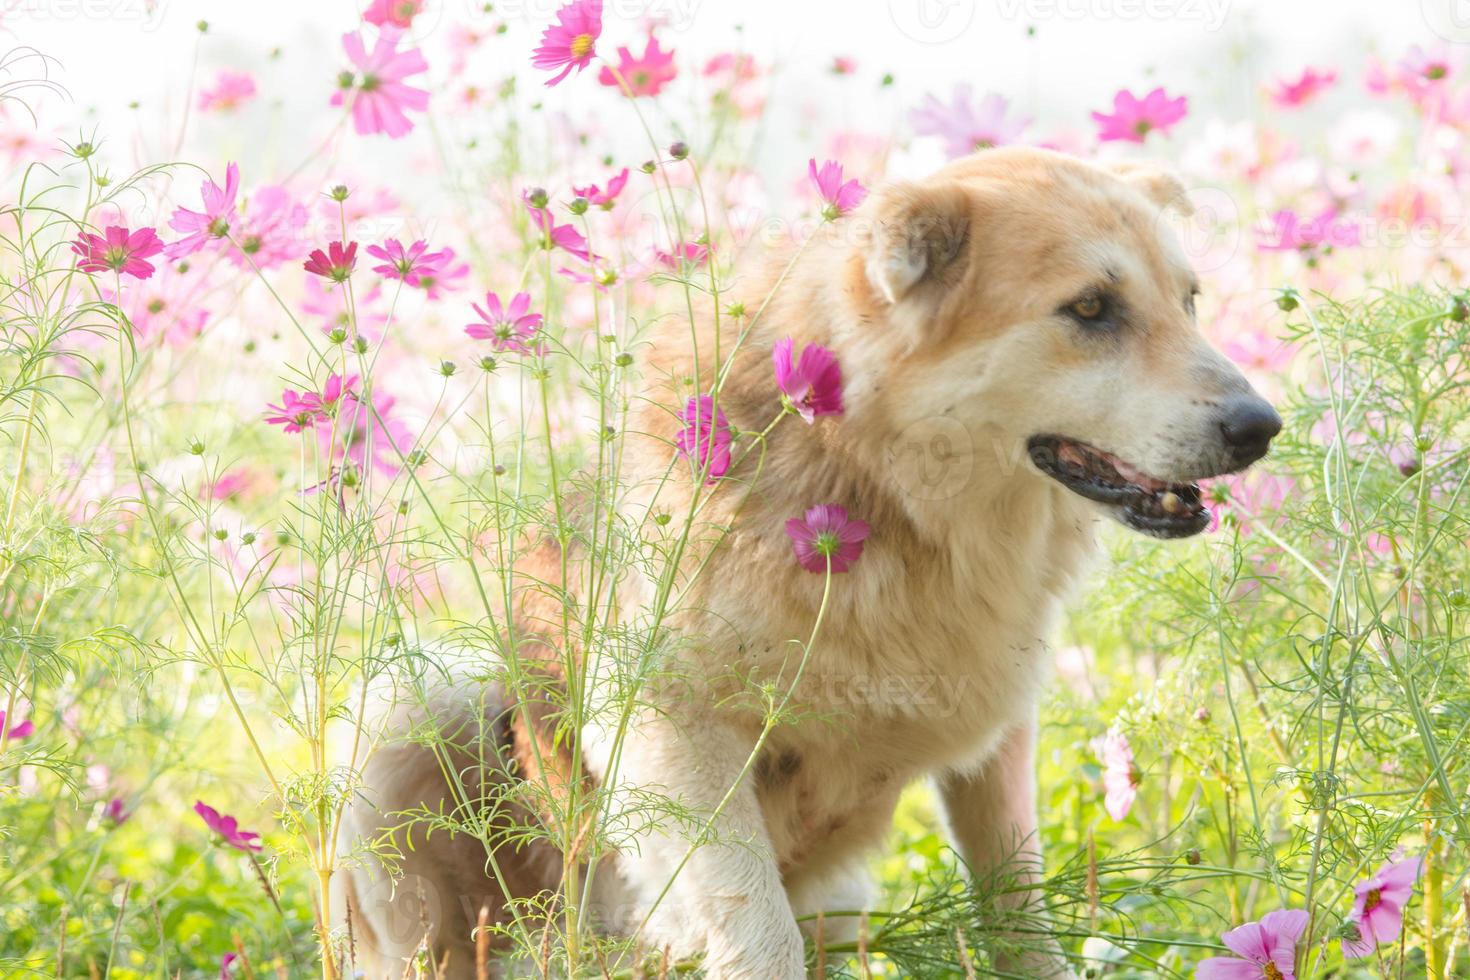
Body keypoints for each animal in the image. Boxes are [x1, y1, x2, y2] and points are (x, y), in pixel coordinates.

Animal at [338, 147, 1281, 980]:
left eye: (1190, 301)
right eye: (1090, 309)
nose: (1262, 427)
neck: (879, 490)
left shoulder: (999, 740)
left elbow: (1019, 914)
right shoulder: (669, 728)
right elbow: (757, 932)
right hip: (414, 703)